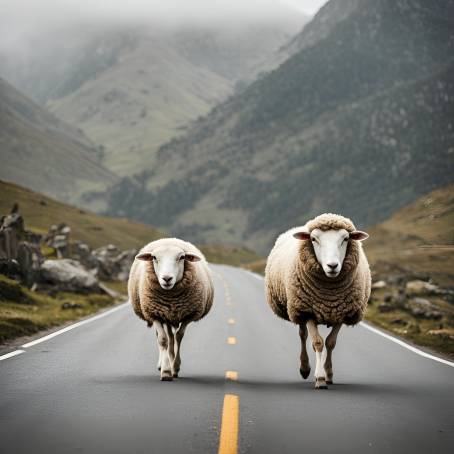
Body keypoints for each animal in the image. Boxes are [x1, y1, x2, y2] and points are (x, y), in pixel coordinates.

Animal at [127, 239, 214, 382]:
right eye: (154, 257)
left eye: (182, 257)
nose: (167, 278)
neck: (171, 299)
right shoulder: (154, 314)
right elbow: (163, 340)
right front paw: (166, 371)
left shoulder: (188, 316)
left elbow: (179, 336)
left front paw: (175, 367)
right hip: (165, 316)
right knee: (167, 338)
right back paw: (164, 362)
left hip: (170, 316)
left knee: (173, 337)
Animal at [264, 215, 370, 388]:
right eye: (314, 239)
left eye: (345, 239)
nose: (332, 266)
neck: (329, 296)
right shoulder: (308, 312)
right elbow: (318, 343)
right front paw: (319, 378)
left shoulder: (341, 312)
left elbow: (330, 343)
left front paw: (328, 374)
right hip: (298, 308)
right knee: (303, 335)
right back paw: (305, 368)